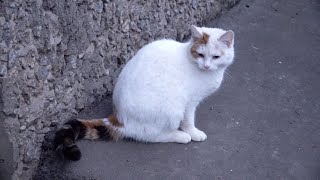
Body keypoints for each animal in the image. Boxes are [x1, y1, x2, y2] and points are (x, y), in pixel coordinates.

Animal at [54, 25, 235, 160]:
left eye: (216, 57)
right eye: (200, 54)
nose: (206, 66)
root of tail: (118, 119)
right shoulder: (190, 103)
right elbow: (188, 121)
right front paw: (193, 132)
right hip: (172, 109)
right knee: (150, 136)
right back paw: (180, 136)